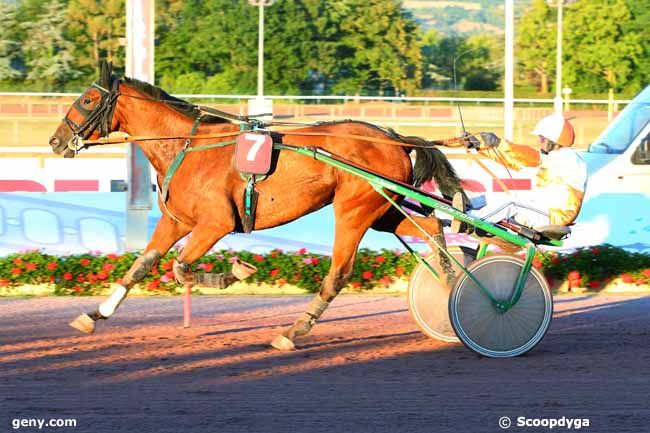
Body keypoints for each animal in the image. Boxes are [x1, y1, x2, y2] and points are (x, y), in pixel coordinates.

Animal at [50, 61, 464, 352]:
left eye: (87, 99)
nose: (56, 141)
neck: (186, 146)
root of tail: (394, 138)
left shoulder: (215, 222)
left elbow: (181, 267)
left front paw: (233, 273)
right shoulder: (176, 221)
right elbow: (142, 265)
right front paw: (94, 314)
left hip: (354, 211)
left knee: (339, 272)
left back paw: (293, 331)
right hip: (385, 210)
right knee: (433, 227)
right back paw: (450, 283)